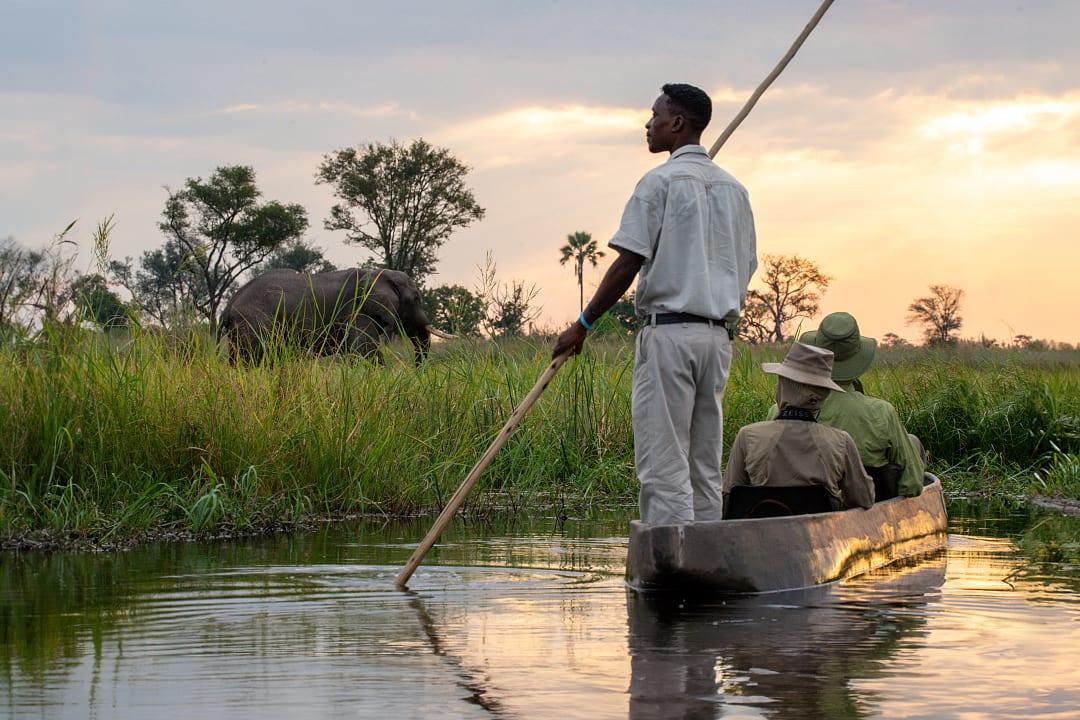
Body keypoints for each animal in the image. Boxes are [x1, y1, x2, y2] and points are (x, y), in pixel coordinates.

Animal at [220, 267, 452, 365]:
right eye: (415, 299)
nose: (417, 371)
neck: (376, 274)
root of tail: (228, 306)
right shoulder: (356, 311)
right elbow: (366, 351)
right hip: (255, 324)